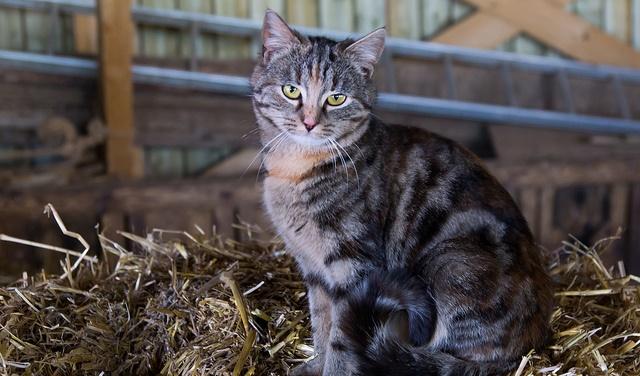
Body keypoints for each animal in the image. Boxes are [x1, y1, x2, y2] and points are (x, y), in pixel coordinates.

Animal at [251, 9, 556, 376]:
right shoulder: (315, 271)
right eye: (291, 90)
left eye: (336, 98)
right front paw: (316, 365)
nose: (309, 122)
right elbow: (322, 324)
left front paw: (334, 368)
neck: (297, 170)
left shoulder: (355, 268)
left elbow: (341, 338)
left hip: (447, 264)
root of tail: (530, 345)